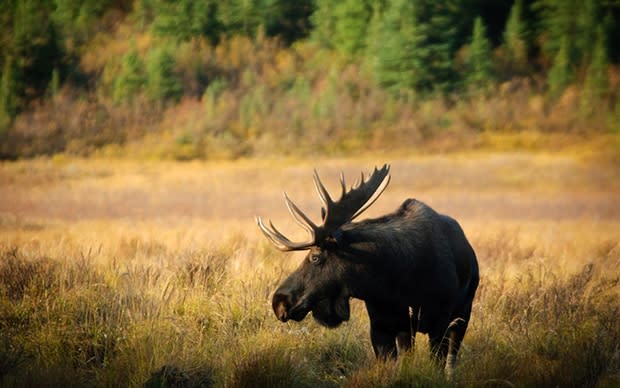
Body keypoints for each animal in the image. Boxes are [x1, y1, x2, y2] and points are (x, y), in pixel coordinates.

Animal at [256, 165, 480, 378]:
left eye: (315, 257)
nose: (279, 301)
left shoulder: (439, 322)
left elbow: (440, 366)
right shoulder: (381, 326)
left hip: (462, 314)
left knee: (452, 358)